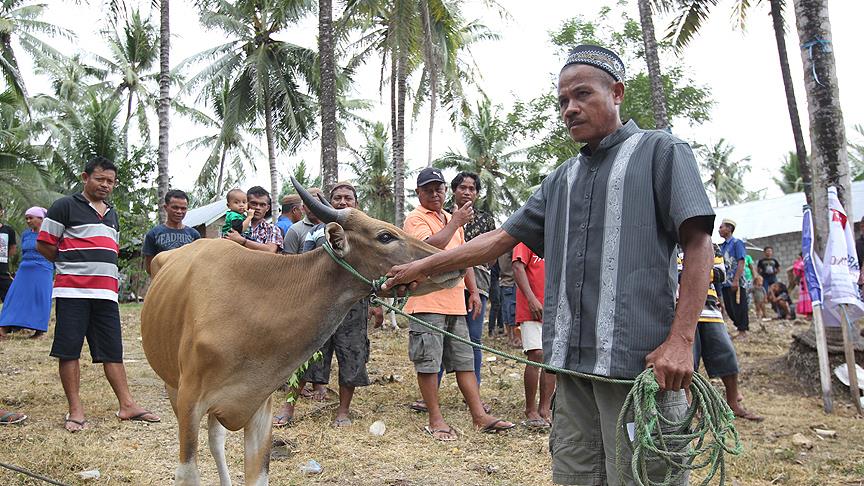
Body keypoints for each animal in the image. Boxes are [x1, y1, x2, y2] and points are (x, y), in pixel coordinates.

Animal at [142, 180, 462, 484]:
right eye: (385, 236)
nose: (447, 261)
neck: (251, 306)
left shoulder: (259, 403)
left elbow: (258, 475)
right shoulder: (190, 401)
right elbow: (188, 474)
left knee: (216, 439)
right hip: (173, 385)